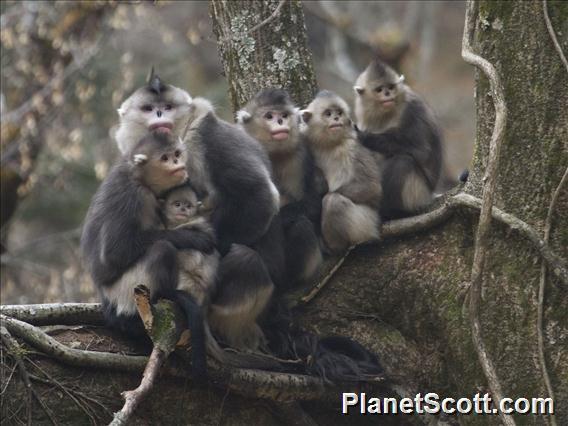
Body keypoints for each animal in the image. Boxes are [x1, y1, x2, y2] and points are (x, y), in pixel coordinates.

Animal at [80, 131, 213, 380]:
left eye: (177, 154)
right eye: (165, 158)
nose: (178, 163)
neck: (138, 177)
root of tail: (106, 300)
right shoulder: (133, 196)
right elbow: (114, 254)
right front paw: (194, 237)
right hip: (124, 291)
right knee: (162, 249)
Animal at [114, 73, 282, 352]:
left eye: (167, 106)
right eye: (148, 108)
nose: (159, 113)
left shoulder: (204, 134)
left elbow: (260, 194)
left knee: (245, 258)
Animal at [236, 88, 324, 288]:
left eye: (284, 115)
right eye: (269, 116)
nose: (280, 122)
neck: (272, 153)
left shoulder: (298, 156)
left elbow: (313, 203)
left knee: (301, 225)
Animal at [302, 90, 382, 253]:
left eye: (339, 113)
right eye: (328, 113)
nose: (336, 118)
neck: (327, 145)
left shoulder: (352, 148)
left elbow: (372, 187)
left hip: (364, 224)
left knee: (332, 200)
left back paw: (336, 247)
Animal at [356, 57, 444, 220]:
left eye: (391, 87)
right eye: (379, 89)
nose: (387, 93)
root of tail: (430, 194)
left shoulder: (413, 110)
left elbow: (421, 151)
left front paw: (366, 137)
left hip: (419, 193)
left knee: (403, 161)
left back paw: (391, 213)